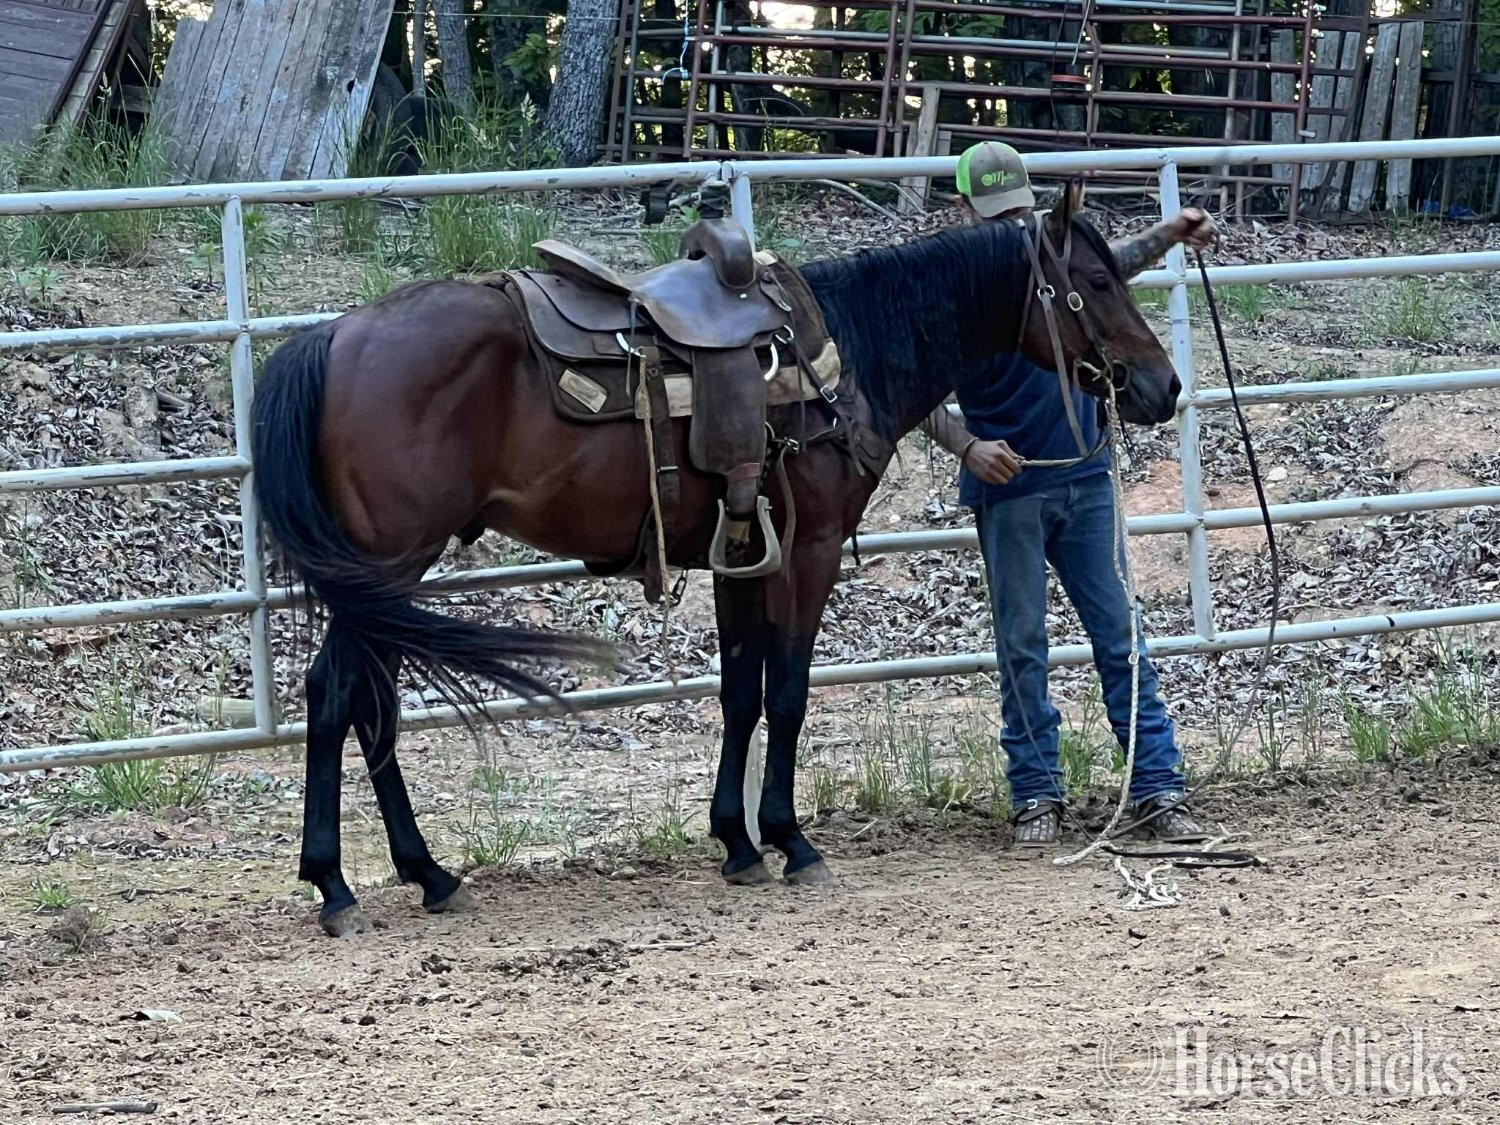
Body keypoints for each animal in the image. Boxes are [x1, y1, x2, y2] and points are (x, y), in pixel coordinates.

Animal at [250, 182, 1179, 936]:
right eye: (1096, 281)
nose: (1161, 386)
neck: (847, 351)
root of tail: (330, 339)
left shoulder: (742, 556)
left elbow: (739, 693)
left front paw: (737, 840)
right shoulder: (804, 551)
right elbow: (789, 693)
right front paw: (792, 839)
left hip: (379, 578)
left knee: (361, 700)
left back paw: (424, 873)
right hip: (388, 565)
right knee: (339, 695)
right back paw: (340, 884)